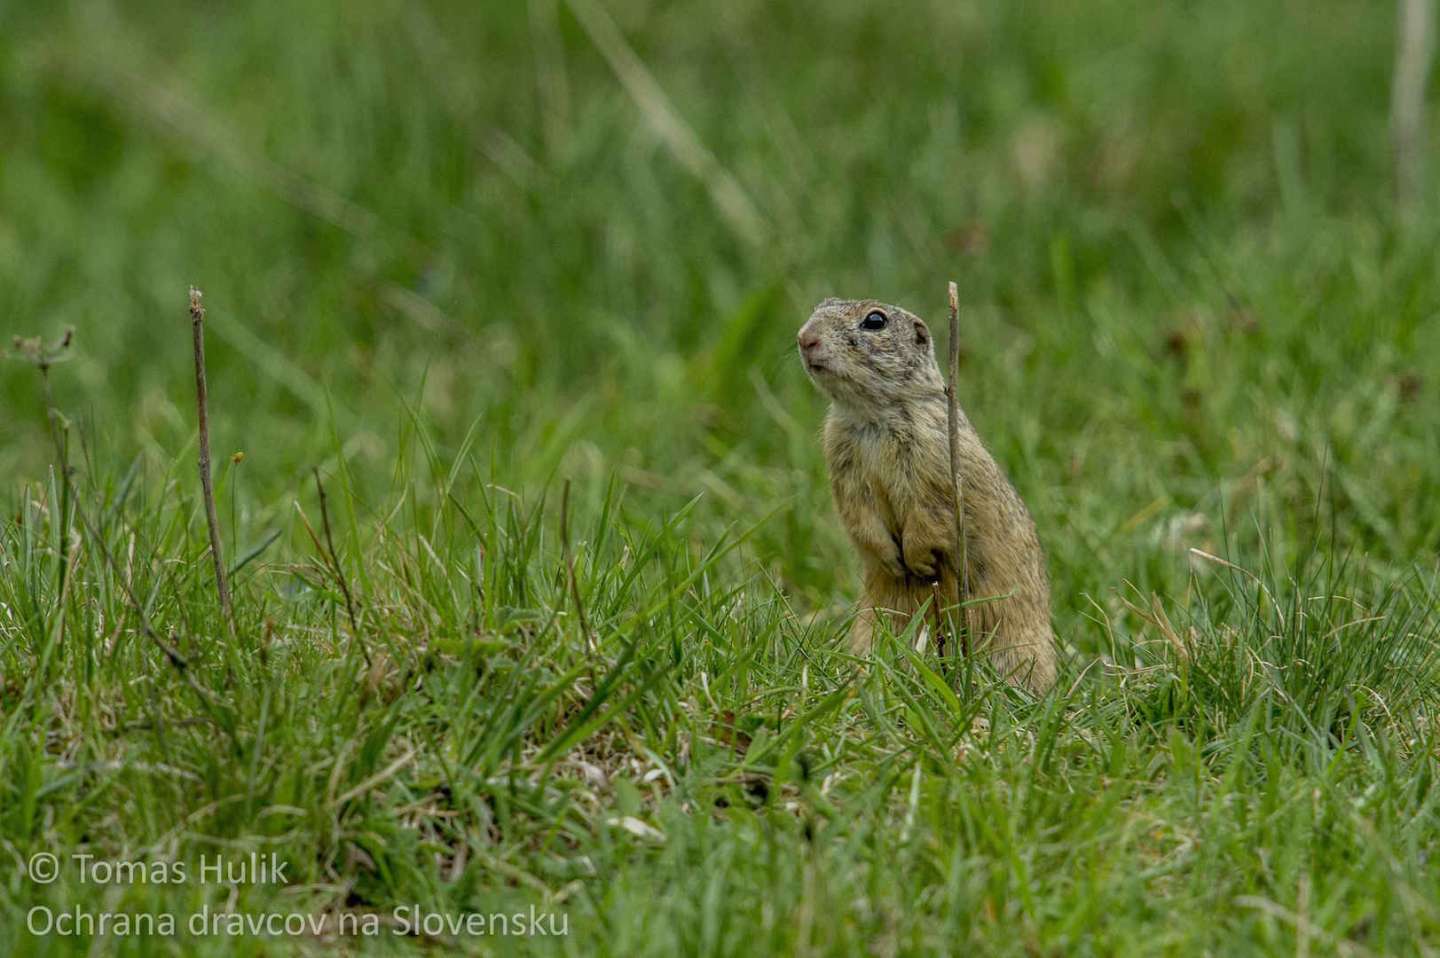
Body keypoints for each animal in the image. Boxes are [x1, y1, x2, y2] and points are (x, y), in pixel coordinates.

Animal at [800, 295, 1059, 691]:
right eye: (821, 305)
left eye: (875, 321)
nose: (804, 338)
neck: (872, 416)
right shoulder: (842, 461)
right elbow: (858, 515)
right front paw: (891, 560)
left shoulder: (935, 462)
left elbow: (930, 514)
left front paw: (916, 560)